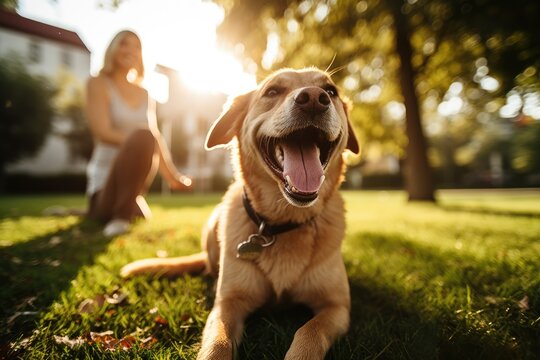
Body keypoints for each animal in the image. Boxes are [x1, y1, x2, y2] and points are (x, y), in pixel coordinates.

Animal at [121, 68, 358, 360]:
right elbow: (217, 344)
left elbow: (310, 332)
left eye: (331, 90)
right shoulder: (228, 304)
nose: (314, 98)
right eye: (272, 91)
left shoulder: (337, 307)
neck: (283, 222)